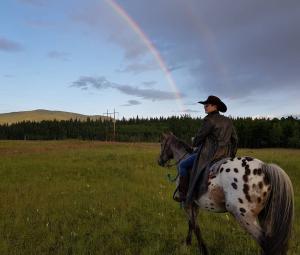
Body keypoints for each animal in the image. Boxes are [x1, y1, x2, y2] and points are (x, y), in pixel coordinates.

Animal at [158, 132, 294, 254]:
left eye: (161, 144)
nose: (159, 161)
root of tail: (264, 167)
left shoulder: (187, 204)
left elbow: (194, 226)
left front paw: (199, 248)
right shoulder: (194, 204)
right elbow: (192, 225)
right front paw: (189, 244)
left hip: (243, 215)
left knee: (265, 243)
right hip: (265, 217)